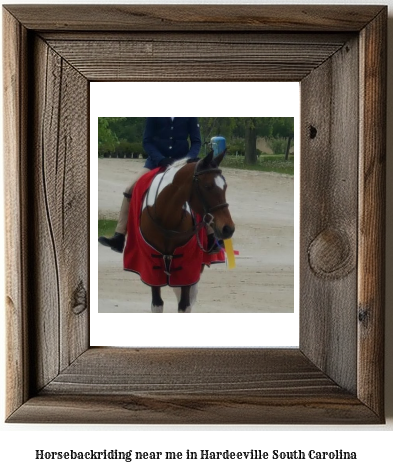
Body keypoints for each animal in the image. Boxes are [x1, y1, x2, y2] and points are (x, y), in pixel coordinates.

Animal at [123, 148, 233, 312]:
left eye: (225, 186)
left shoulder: (186, 265)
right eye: (207, 186)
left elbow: (184, 305)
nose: (228, 228)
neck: (167, 218)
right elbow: (157, 304)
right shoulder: (151, 267)